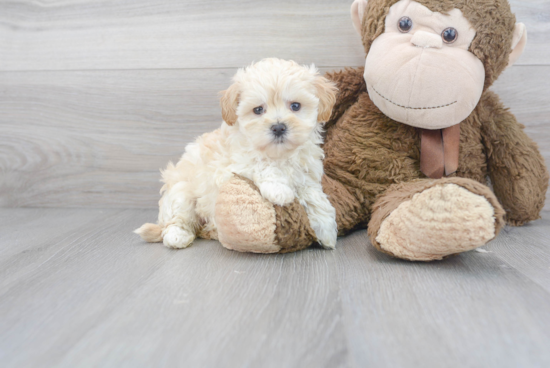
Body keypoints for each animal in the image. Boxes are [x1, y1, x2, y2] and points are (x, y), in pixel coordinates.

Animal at [136, 58, 338, 250]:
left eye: (295, 106)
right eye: (258, 110)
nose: (278, 127)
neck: (278, 155)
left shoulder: (307, 175)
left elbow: (314, 196)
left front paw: (326, 230)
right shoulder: (230, 166)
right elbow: (260, 164)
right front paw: (279, 190)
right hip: (181, 193)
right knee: (177, 219)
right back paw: (178, 236)